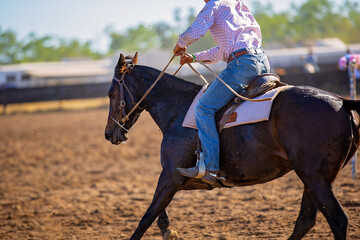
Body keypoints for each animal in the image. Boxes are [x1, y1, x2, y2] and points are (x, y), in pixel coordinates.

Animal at [105, 54, 360, 240]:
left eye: (110, 93)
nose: (108, 133)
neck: (178, 108)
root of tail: (341, 101)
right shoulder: (184, 179)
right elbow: (157, 211)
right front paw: (168, 230)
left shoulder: (171, 175)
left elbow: (146, 217)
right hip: (313, 178)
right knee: (306, 220)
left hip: (315, 178)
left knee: (337, 219)